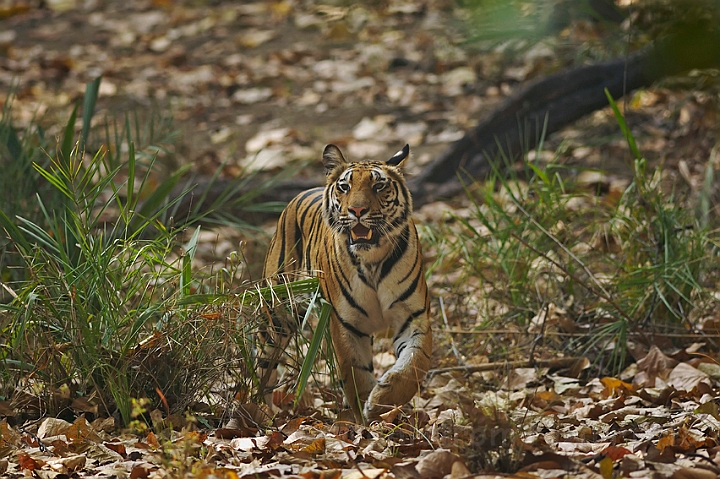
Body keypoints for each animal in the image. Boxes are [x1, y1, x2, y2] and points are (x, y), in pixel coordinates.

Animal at [264, 143, 434, 424]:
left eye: (378, 186)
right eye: (345, 187)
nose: (357, 211)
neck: (373, 259)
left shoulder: (412, 317)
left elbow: (414, 364)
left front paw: (382, 400)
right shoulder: (346, 324)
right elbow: (357, 373)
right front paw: (367, 416)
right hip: (277, 314)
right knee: (261, 367)